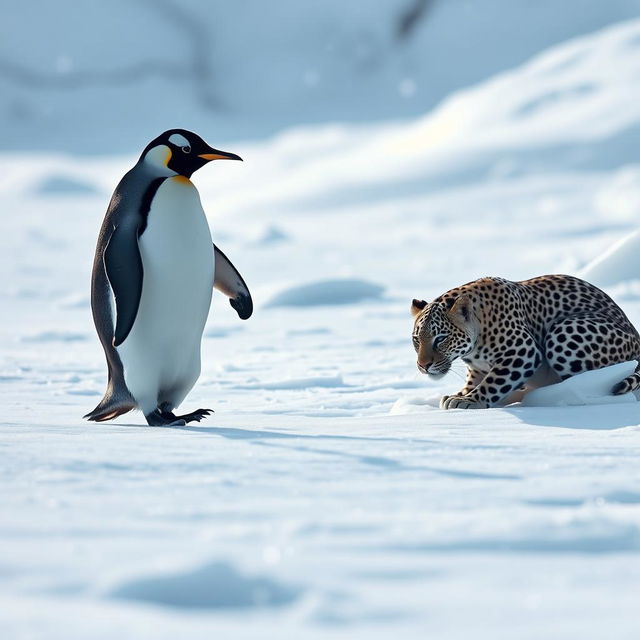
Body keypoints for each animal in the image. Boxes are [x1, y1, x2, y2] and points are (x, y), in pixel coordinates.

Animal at [410, 276, 640, 410]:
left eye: (441, 338)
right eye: (416, 339)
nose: (423, 366)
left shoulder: (522, 352)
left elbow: (495, 382)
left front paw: (469, 401)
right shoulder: (478, 368)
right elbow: (475, 381)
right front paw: (461, 394)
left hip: (565, 329)